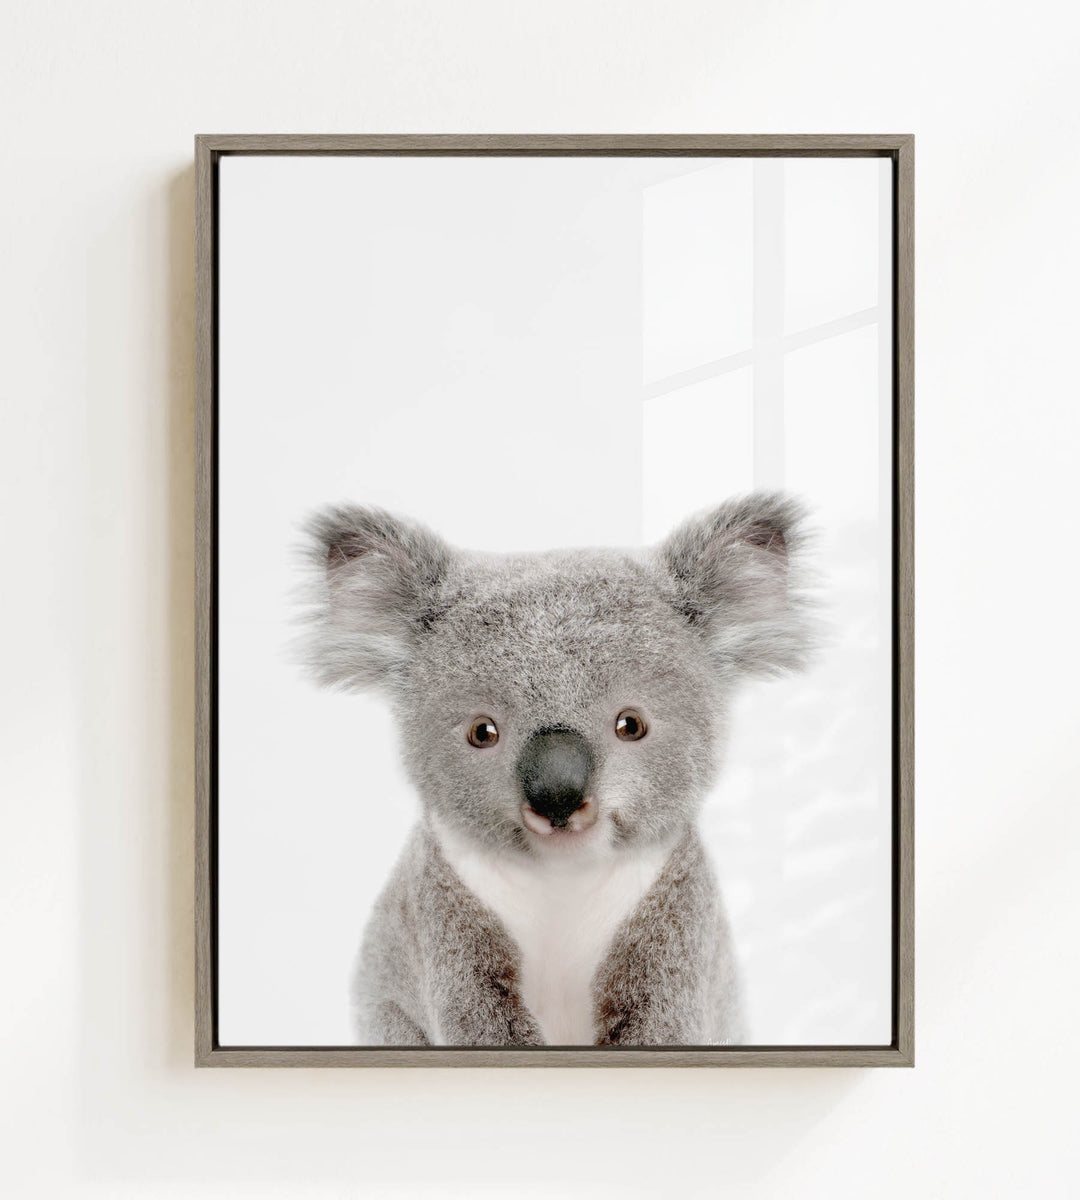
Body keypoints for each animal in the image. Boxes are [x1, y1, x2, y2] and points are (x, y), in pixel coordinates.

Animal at [303, 492, 813, 1046]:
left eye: (631, 725)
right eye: (482, 732)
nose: (557, 797)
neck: (561, 879)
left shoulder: (676, 920)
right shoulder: (443, 917)